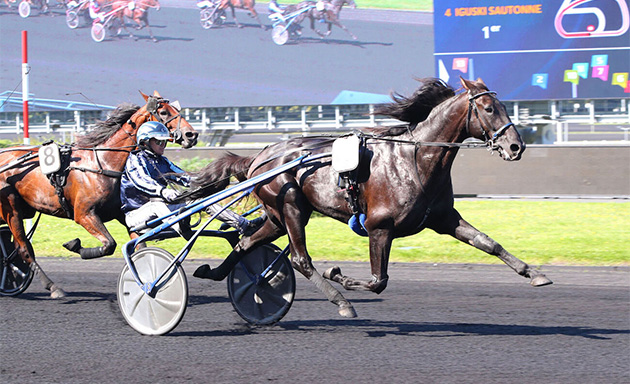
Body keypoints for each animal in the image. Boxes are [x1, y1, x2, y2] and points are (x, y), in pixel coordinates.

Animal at [0, 91, 198, 298]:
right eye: (163, 111)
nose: (191, 135)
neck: (102, 163)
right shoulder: (84, 214)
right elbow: (109, 244)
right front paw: (75, 246)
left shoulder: (121, 214)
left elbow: (138, 246)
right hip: (11, 209)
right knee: (24, 248)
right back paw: (52, 287)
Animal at [181, 77, 552, 318]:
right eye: (489, 108)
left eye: (503, 106)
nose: (515, 146)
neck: (415, 160)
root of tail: (258, 157)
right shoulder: (379, 227)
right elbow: (378, 282)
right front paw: (339, 276)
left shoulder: (444, 218)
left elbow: (488, 243)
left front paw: (534, 273)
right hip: (290, 207)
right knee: (300, 260)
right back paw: (341, 301)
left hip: (276, 216)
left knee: (246, 243)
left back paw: (217, 274)